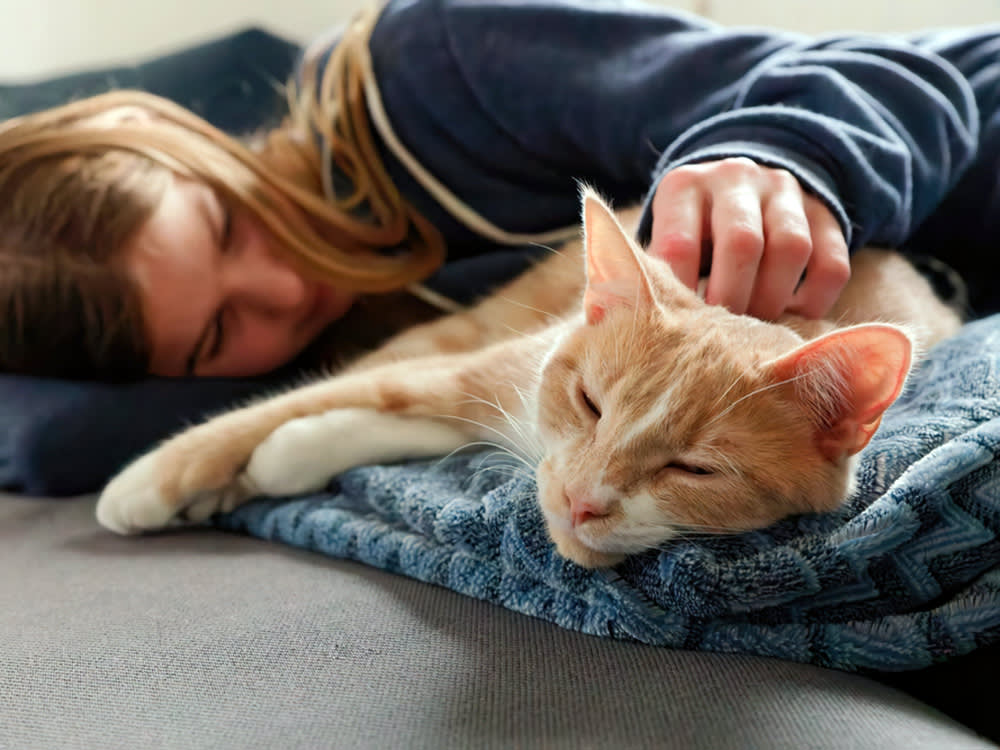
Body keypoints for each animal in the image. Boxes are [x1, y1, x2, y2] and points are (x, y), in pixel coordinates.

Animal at [95, 192, 960, 568]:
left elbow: (373, 421)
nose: (581, 500)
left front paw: (283, 458)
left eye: (696, 469)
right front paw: (154, 479)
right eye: (590, 403)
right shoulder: (485, 367)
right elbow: (326, 396)